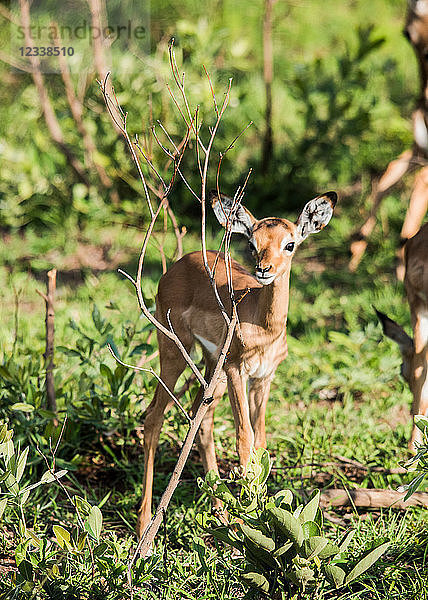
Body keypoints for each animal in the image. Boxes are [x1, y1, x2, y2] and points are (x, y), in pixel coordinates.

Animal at [137, 190, 338, 536]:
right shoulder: (236, 371)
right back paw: (144, 524)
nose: (264, 269)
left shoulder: (263, 378)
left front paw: (261, 517)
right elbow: (245, 439)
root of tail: (176, 266)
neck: (262, 324)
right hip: (175, 352)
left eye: (290, 243)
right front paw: (253, 519)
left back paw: (221, 513)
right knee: (154, 418)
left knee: (200, 418)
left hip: (210, 368)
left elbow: (261, 442)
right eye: (252, 243)